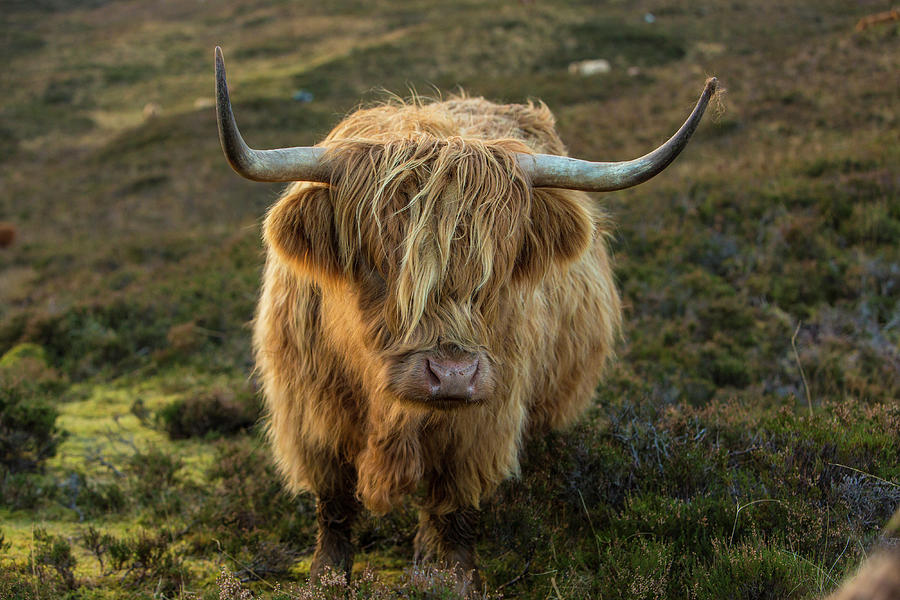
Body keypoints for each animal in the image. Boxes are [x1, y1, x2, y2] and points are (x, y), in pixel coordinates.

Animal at [213, 48, 716, 592]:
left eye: (495, 269)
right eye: (375, 263)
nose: (452, 375)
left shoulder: (482, 423)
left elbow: (455, 511)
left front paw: (455, 580)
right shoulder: (311, 416)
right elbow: (334, 506)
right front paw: (325, 580)